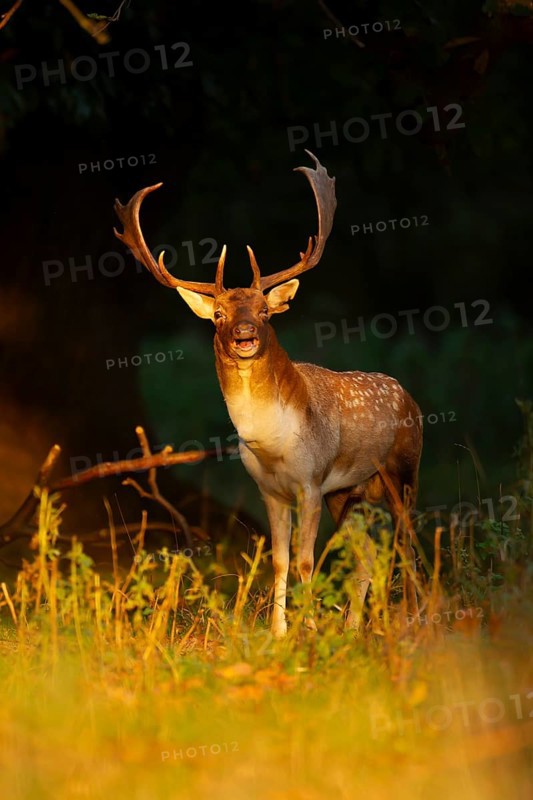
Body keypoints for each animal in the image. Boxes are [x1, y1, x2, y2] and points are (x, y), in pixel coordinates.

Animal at [113, 151, 423, 639]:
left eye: (263, 310)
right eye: (218, 314)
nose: (244, 335)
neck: (274, 444)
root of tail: (410, 398)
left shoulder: (311, 481)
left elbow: (306, 560)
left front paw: (308, 629)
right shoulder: (269, 490)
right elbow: (279, 561)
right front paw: (279, 633)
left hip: (404, 470)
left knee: (406, 544)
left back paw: (410, 620)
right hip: (350, 492)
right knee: (368, 556)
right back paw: (355, 629)